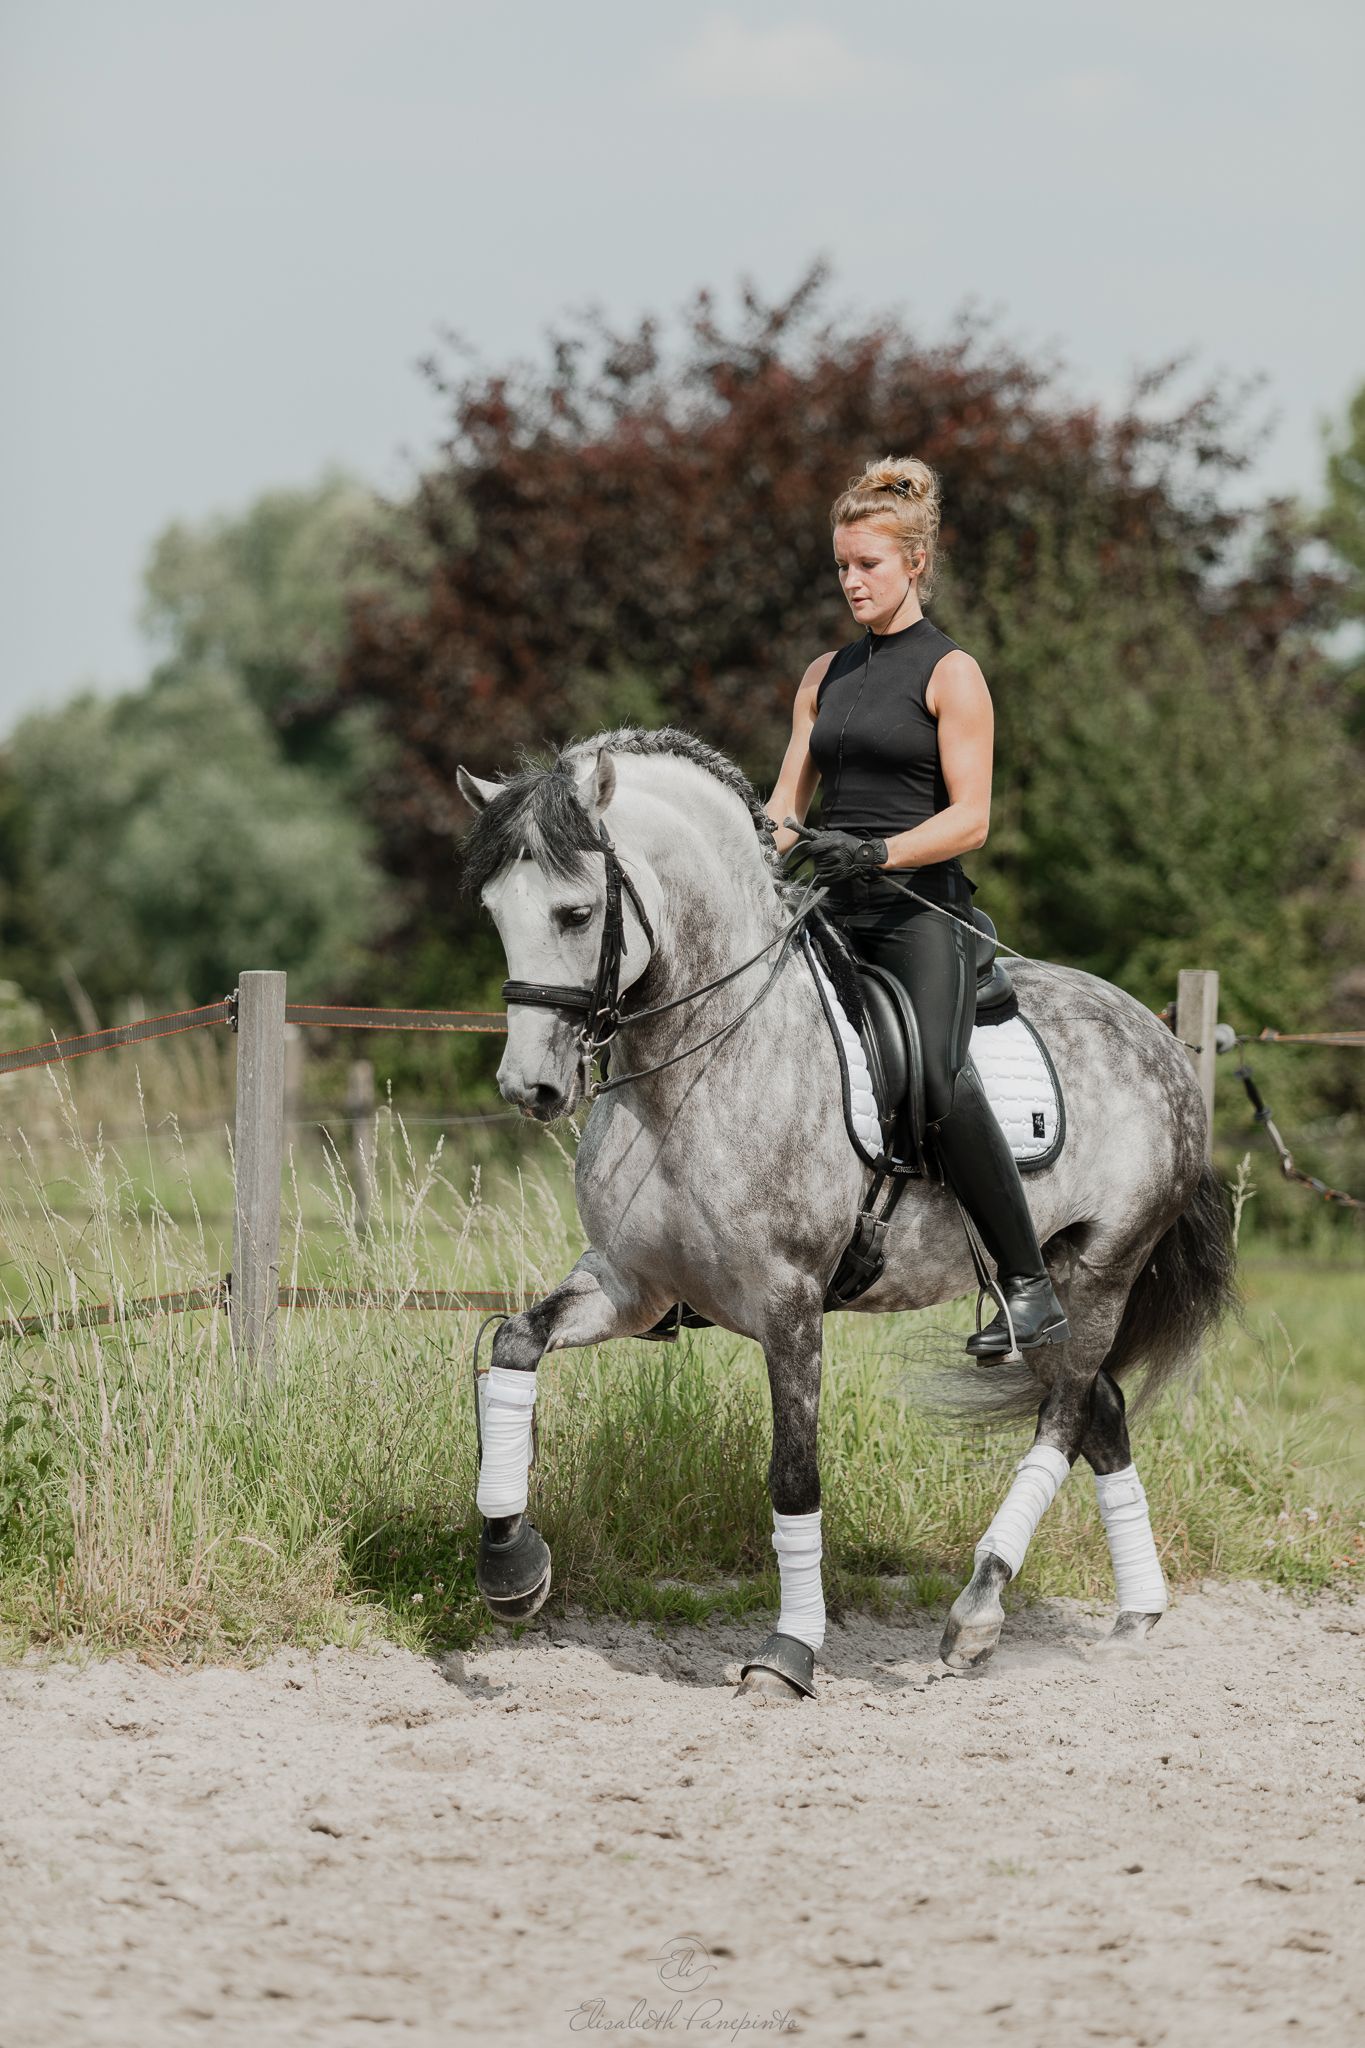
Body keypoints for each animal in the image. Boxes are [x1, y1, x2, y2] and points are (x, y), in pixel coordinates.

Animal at [456, 727, 1236, 1698]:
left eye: (572, 913)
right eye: (494, 912)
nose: (529, 1089)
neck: (699, 1059)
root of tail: (1157, 1035)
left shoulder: (789, 1304)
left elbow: (794, 1475)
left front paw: (787, 1653)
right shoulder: (629, 1283)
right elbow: (515, 1345)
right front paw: (510, 1568)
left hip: (1102, 1267)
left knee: (1061, 1417)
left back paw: (979, 1610)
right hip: (1063, 1273)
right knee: (1100, 1408)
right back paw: (1135, 1614)